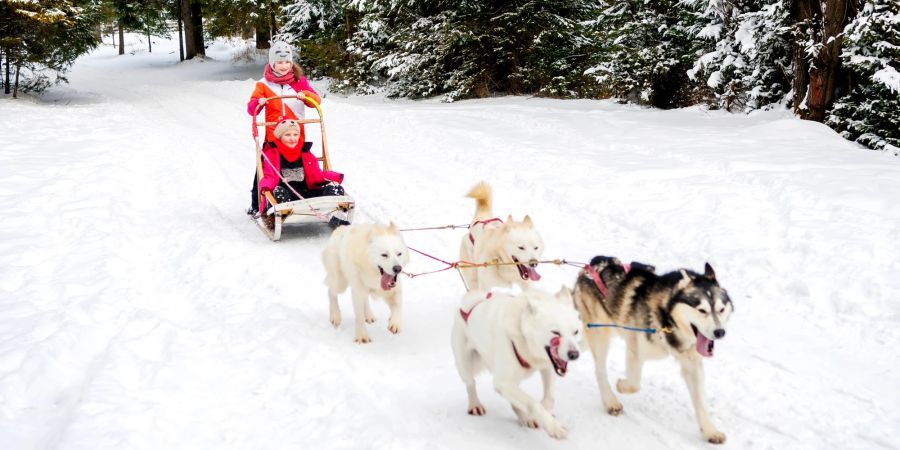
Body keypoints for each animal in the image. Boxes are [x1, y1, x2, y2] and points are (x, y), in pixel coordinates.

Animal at [450, 286, 584, 438]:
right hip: (464, 364)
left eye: (575, 332)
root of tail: (471, 300)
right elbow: (533, 403)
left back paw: (525, 416)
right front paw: (553, 426)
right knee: (470, 383)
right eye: (555, 332)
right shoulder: (502, 381)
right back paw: (475, 405)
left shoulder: (548, 366)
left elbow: (549, 398)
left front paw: (543, 414)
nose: (574, 354)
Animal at [572, 255, 736, 444]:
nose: (720, 332)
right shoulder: (635, 349)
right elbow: (634, 384)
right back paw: (610, 401)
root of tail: (591, 265)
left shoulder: (691, 363)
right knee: (599, 370)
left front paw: (710, 431)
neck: (667, 319)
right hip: (600, 334)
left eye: (721, 309)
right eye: (701, 310)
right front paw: (621, 385)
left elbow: (701, 402)